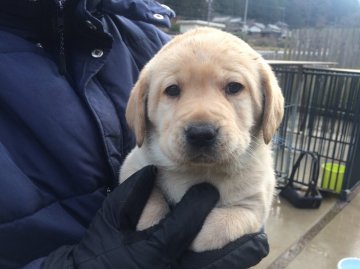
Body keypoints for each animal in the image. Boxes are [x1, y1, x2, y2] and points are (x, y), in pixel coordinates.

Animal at [120, 27, 284, 251]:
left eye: (234, 87)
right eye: (172, 90)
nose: (201, 133)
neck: (199, 171)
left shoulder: (254, 204)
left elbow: (222, 225)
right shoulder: (133, 167)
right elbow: (150, 203)